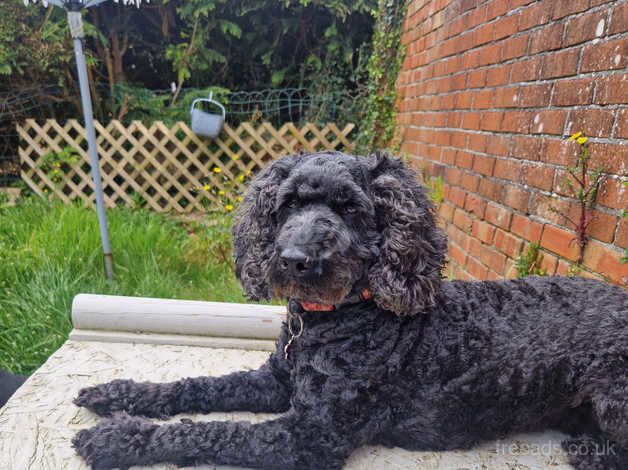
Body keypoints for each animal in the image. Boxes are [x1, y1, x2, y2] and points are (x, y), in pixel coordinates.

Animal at [75, 152, 628, 468]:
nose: (293, 259)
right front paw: (119, 394)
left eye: (349, 209)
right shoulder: (276, 382)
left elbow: (216, 430)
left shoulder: (311, 434)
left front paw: (120, 438)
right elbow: (199, 387)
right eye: (288, 204)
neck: (335, 320)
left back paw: (589, 454)